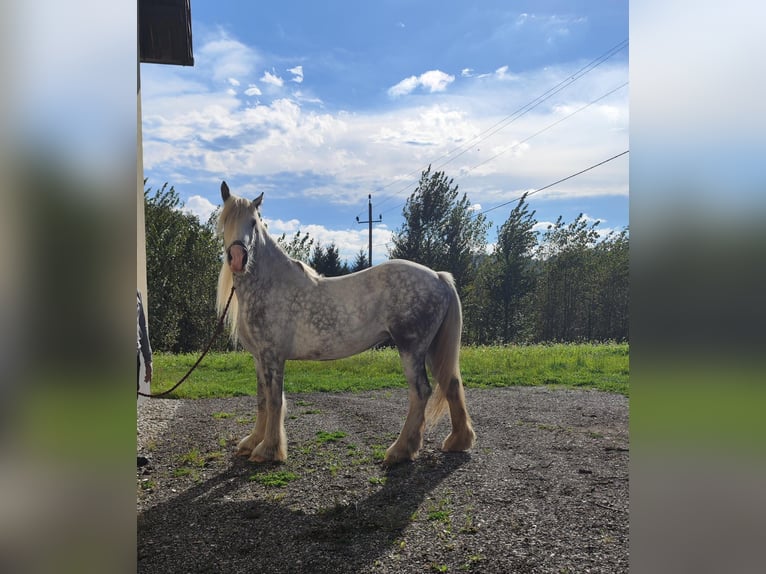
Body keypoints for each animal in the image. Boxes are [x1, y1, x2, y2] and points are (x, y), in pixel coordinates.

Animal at [216, 181, 475, 464]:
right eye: (225, 220)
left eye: (253, 222)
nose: (238, 259)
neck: (270, 284)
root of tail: (438, 277)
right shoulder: (259, 358)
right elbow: (262, 399)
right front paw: (252, 442)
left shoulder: (273, 356)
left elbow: (274, 401)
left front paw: (269, 450)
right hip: (431, 348)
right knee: (451, 384)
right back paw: (458, 442)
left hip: (411, 348)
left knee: (421, 392)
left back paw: (400, 450)